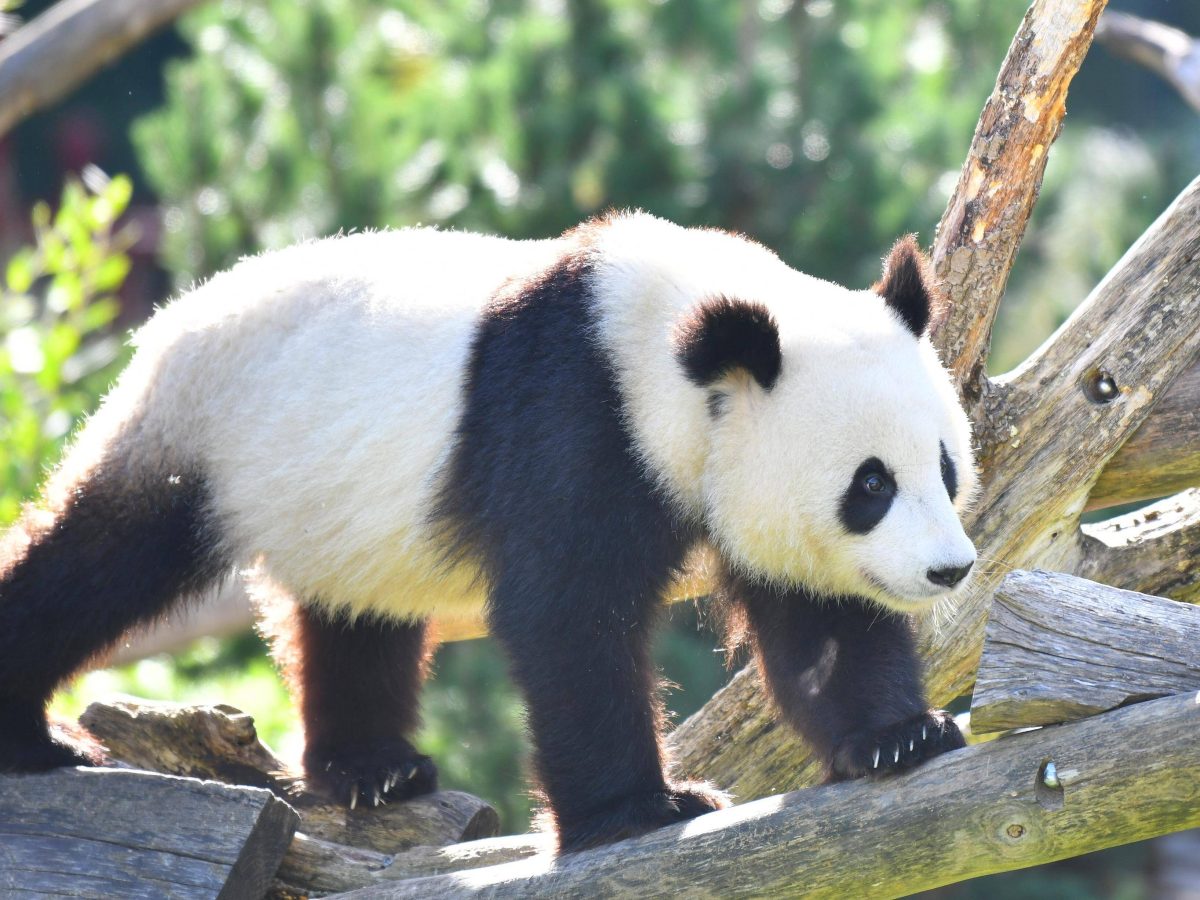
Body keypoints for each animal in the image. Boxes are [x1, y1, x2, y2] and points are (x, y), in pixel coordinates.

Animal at [0, 211, 974, 854]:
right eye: (872, 485)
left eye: (946, 468)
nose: (951, 571)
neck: (670, 342)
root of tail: (175, 313)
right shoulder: (575, 417)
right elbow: (566, 616)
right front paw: (646, 810)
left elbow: (821, 621)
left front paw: (898, 738)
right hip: (204, 431)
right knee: (102, 559)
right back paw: (34, 738)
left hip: (338, 501)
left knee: (355, 613)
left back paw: (373, 768)